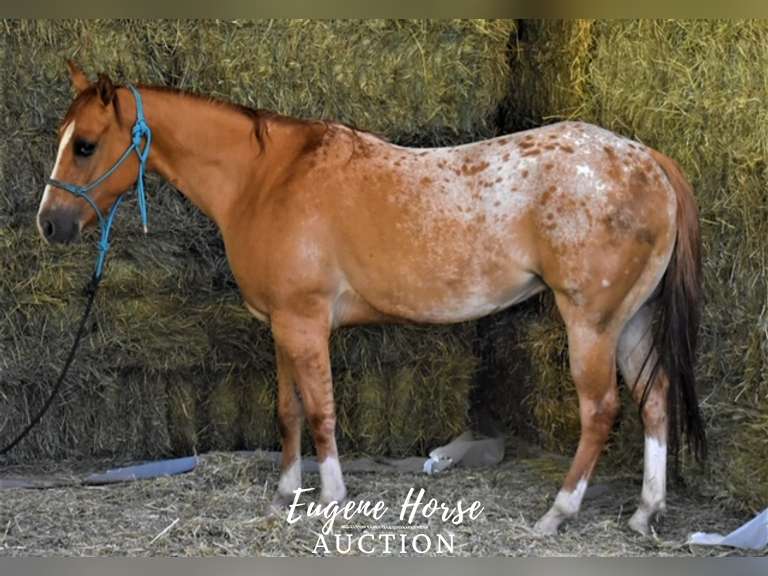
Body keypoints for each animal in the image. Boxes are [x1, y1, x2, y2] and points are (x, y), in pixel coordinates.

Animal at [37, 61, 706, 536]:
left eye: (86, 144)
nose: (50, 223)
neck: (267, 179)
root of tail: (648, 159)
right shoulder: (282, 326)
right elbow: (289, 411)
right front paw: (285, 494)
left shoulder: (305, 323)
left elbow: (322, 412)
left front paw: (331, 497)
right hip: (631, 322)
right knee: (654, 401)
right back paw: (644, 513)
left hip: (591, 323)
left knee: (601, 411)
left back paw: (556, 515)